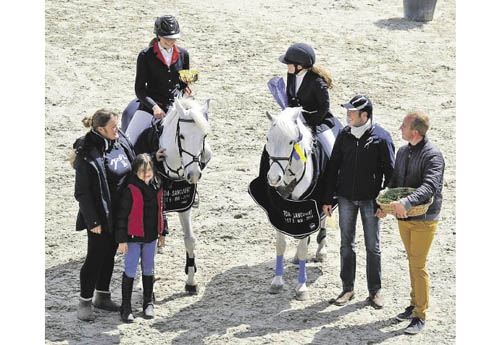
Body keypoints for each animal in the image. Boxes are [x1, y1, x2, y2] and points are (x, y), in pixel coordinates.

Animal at [157, 96, 210, 292]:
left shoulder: (184, 204)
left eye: (204, 136)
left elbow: (189, 240)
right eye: (181, 136)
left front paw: (191, 280)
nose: (193, 175)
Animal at [264, 106, 330, 300]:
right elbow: (280, 245)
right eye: (268, 139)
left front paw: (301, 287)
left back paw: (321, 251)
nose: (273, 178)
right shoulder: (278, 211)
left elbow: (303, 250)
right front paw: (277, 282)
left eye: (290, 142)